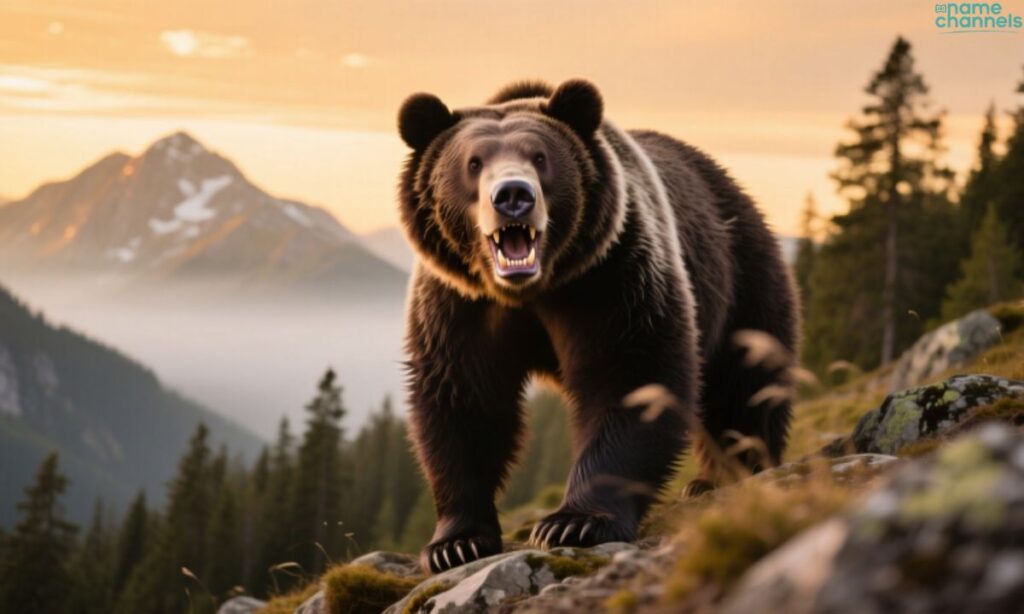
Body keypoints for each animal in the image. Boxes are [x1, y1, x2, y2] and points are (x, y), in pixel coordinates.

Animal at [396, 79, 798, 573]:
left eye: (540, 157)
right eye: (473, 162)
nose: (513, 195)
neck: (533, 290)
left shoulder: (611, 280)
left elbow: (631, 376)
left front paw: (574, 522)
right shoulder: (459, 307)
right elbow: (463, 401)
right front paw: (456, 543)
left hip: (740, 270)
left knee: (747, 379)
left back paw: (731, 471)